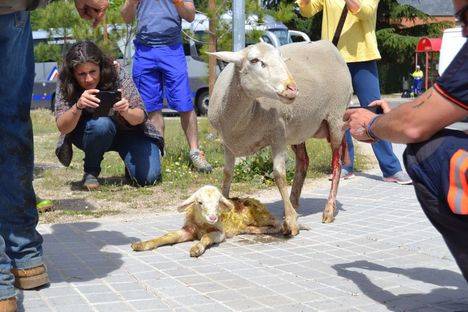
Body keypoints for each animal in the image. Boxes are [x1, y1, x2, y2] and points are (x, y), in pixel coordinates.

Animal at [130, 185, 306, 256]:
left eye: (218, 203)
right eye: (199, 203)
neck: (202, 224)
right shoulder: (187, 230)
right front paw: (141, 245)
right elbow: (166, 237)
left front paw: (196, 249)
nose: (213, 217)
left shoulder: (219, 233)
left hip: (261, 215)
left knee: (277, 222)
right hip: (250, 225)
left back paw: (288, 228)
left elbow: (206, 237)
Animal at [208, 42, 352, 236]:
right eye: (254, 60)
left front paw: (291, 222)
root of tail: (328, 45)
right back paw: (292, 203)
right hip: (298, 130)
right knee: (303, 161)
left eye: (281, 59)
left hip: (336, 119)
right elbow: (227, 174)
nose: (292, 88)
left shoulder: (278, 135)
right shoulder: (227, 144)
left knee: (336, 163)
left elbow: (279, 175)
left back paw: (328, 210)